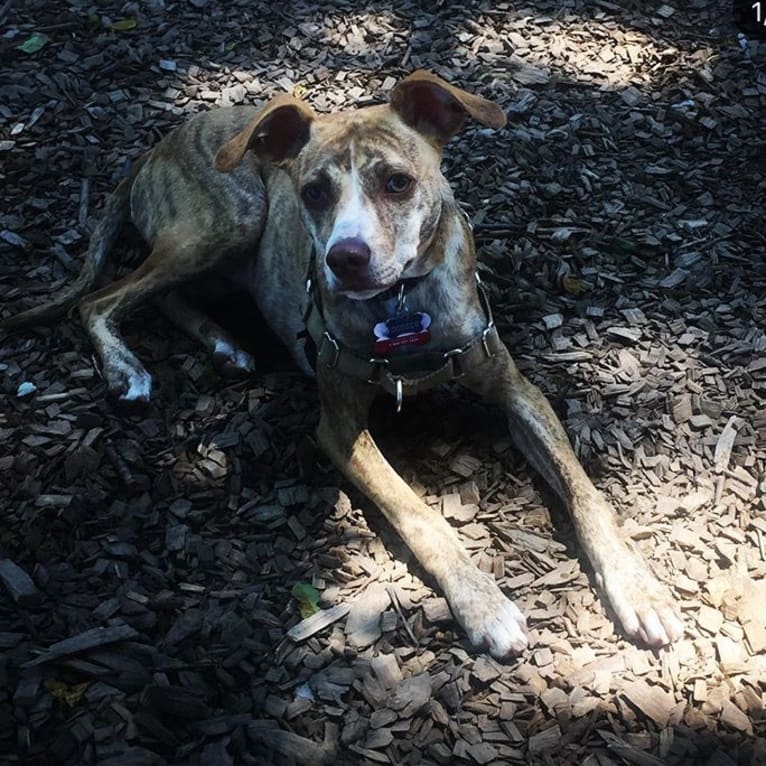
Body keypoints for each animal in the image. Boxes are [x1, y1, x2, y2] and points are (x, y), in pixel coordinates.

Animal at [0, 73, 684, 660]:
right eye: (313, 193)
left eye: (398, 183)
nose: (343, 259)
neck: (404, 308)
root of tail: (155, 147)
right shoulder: (340, 428)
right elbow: (420, 516)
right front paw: (483, 605)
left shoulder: (518, 390)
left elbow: (583, 488)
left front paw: (639, 586)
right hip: (226, 223)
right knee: (99, 300)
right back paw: (130, 368)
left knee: (165, 296)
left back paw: (224, 343)